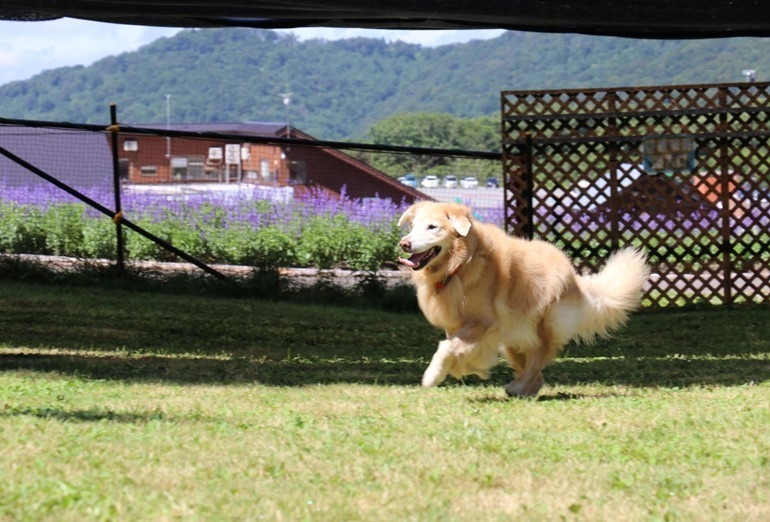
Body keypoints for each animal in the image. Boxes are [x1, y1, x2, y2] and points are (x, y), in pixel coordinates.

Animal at [396, 201, 648, 396]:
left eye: (432, 227)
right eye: (414, 227)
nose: (404, 243)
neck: (460, 265)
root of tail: (575, 277)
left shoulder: (482, 322)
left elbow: (447, 347)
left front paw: (433, 375)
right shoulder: (459, 324)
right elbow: (456, 346)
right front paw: (468, 366)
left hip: (543, 324)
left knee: (538, 359)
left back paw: (517, 387)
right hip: (513, 337)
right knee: (534, 369)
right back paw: (525, 389)